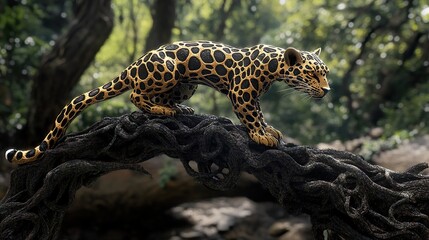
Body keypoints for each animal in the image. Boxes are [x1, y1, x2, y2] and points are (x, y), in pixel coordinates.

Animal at [5, 41, 330, 165]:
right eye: (313, 74)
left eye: (325, 73)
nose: (326, 90)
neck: (273, 65)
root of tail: (134, 64)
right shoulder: (242, 92)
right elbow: (251, 116)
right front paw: (261, 135)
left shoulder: (251, 95)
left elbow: (260, 114)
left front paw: (269, 130)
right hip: (168, 70)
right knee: (136, 95)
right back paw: (161, 109)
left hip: (185, 84)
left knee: (160, 96)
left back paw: (178, 109)